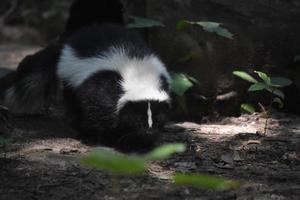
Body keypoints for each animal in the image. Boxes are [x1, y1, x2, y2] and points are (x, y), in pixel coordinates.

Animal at [1, 0, 171, 150]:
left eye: (158, 118)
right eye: (136, 118)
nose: (148, 131)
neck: (138, 75)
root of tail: (94, 23)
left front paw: (144, 142)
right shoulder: (101, 88)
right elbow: (99, 115)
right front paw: (111, 139)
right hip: (70, 80)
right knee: (74, 104)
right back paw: (79, 127)